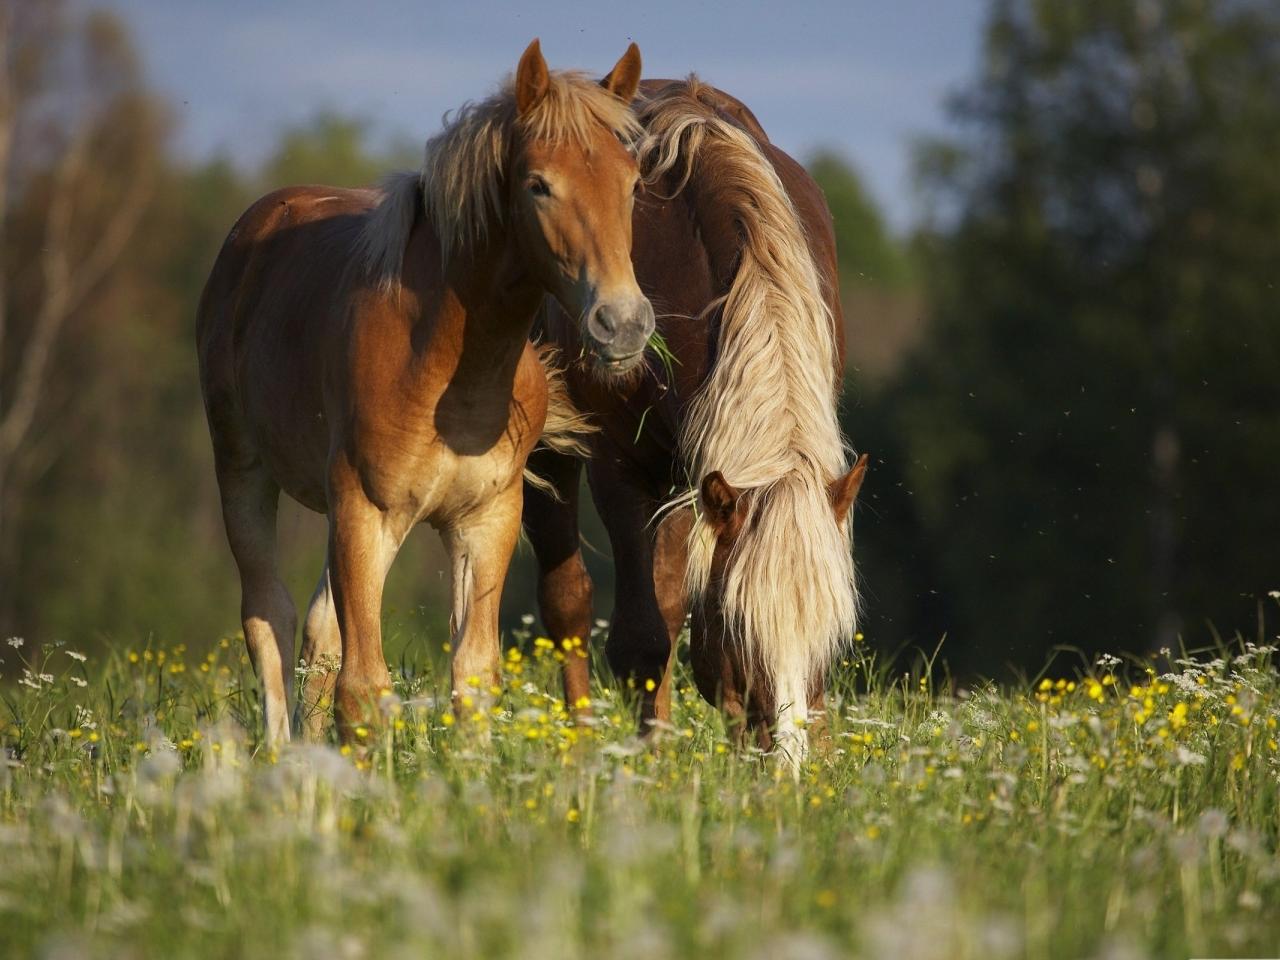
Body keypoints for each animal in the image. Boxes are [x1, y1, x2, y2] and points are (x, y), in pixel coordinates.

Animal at [199, 41, 660, 747]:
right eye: (538, 184)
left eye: (633, 184)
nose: (624, 323)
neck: (445, 366)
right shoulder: (363, 510)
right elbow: (363, 689)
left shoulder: (485, 520)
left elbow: (472, 677)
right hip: (246, 471)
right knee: (268, 617)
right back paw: (279, 753)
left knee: (317, 633)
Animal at [522, 75, 870, 762]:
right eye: (739, 628)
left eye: (832, 636)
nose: (787, 764)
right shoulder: (622, 468)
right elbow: (641, 639)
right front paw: (650, 765)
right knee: (568, 601)